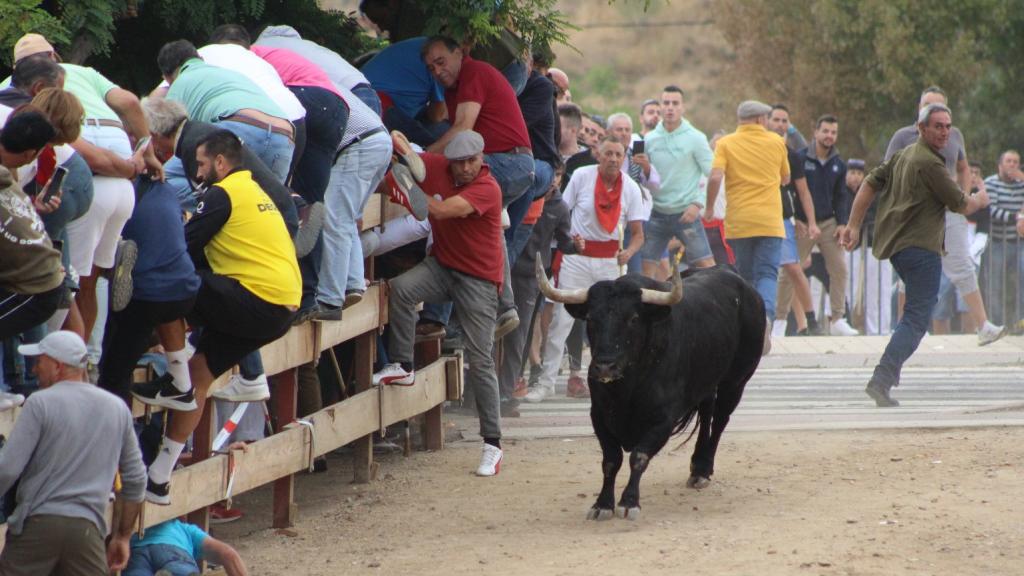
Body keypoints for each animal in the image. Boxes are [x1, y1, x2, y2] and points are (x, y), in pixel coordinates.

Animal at [536, 258, 770, 518]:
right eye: (590, 319)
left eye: (633, 319)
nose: (605, 366)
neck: (626, 389)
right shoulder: (599, 415)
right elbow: (611, 460)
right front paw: (602, 504)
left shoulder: (663, 420)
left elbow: (639, 456)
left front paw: (629, 502)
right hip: (708, 380)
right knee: (707, 412)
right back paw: (697, 466)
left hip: (736, 381)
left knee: (719, 420)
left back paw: (703, 470)